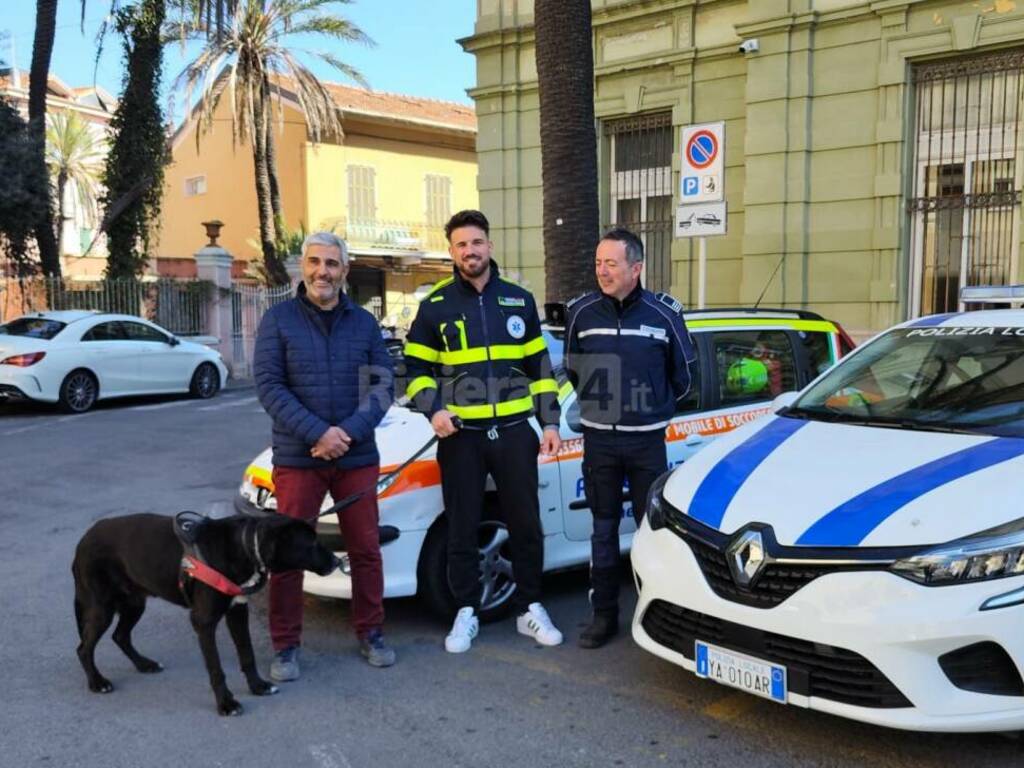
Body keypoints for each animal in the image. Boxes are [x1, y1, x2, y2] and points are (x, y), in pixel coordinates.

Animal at [73, 514, 335, 720]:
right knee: (84, 648)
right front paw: (226, 703)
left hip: (134, 602)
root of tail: (84, 538)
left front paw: (257, 686)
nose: (336, 561)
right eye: (311, 542)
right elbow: (216, 668)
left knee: (120, 636)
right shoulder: (203, 621)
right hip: (102, 608)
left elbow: (247, 654)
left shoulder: (237, 612)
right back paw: (97, 682)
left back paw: (144, 664)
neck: (244, 546)